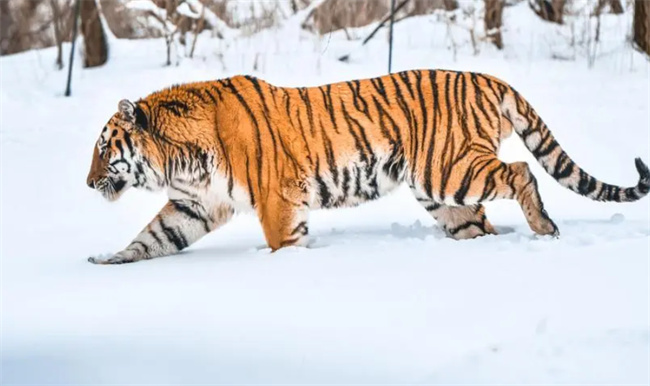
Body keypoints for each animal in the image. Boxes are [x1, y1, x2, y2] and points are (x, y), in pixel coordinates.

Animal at [86, 69, 648, 264]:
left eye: (104, 148)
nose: (89, 183)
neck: (182, 162)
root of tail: (488, 77)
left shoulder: (277, 199)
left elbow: (283, 242)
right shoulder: (194, 205)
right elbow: (153, 237)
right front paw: (108, 262)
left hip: (450, 170)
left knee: (521, 172)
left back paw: (545, 228)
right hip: (444, 197)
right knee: (480, 224)